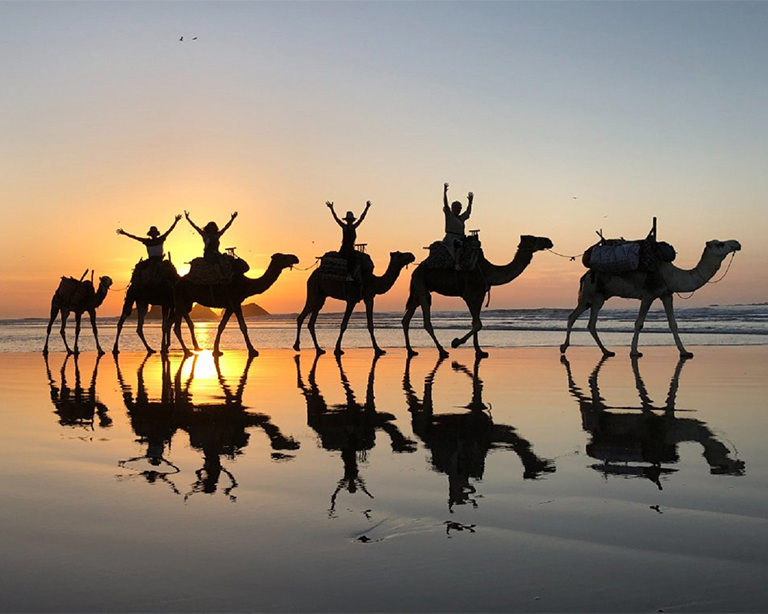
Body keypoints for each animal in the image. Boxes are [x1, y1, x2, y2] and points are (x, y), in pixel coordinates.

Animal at [402, 235, 553, 358]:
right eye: (533, 239)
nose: (549, 241)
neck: (488, 271)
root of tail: (415, 270)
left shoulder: (480, 294)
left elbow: (476, 322)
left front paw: (480, 351)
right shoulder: (469, 294)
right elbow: (478, 323)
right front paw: (456, 342)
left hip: (417, 290)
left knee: (406, 319)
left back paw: (411, 350)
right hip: (421, 285)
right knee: (426, 319)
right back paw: (442, 351)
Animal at [560, 239, 741, 358]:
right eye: (720, 244)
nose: (737, 243)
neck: (671, 274)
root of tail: (584, 276)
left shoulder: (666, 294)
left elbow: (673, 324)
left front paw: (685, 352)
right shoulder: (648, 295)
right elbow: (639, 323)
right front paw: (634, 351)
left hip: (599, 298)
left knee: (590, 324)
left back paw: (607, 351)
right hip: (588, 295)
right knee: (572, 317)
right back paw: (564, 347)